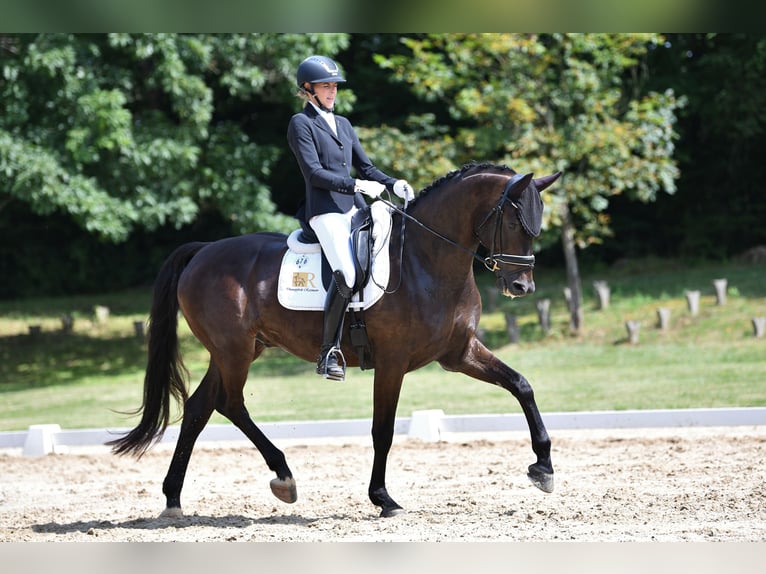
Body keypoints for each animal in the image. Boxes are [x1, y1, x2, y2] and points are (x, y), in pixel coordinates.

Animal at [108, 162, 564, 520]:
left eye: (536, 225)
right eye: (513, 222)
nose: (521, 287)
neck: (426, 260)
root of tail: (203, 251)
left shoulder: (459, 353)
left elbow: (521, 385)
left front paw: (543, 467)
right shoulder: (393, 362)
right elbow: (383, 430)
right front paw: (383, 499)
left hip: (239, 350)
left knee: (200, 408)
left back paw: (173, 499)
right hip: (233, 350)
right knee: (229, 404)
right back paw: (284, 477)